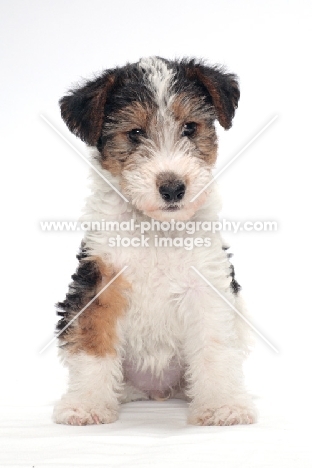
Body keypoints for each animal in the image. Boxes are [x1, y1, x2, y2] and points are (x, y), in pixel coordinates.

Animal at [53, 56, 256, 426]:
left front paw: (223, 405)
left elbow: (214, 345)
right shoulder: (99, 282)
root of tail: (156, 391)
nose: (173, 188)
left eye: (189, 127)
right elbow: (93, 346)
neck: (156, 228)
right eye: (135, 133)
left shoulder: (206, 284)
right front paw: (86, 405)